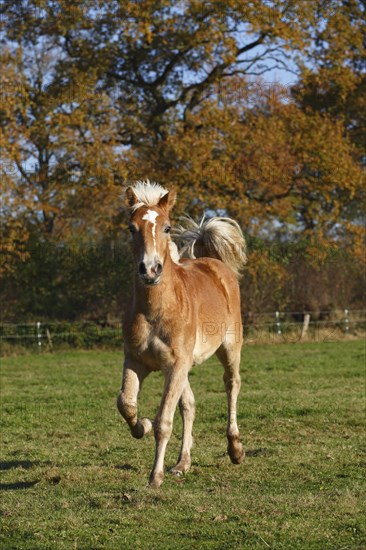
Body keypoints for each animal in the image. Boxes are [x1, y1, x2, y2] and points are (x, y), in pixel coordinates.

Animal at [118, 181, 247, 488]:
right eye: (131, 228)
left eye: (166, 227)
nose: (150, 270)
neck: (156, 309)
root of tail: (214, 264)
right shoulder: (137, 361)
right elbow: (126, 403)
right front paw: (141, 426)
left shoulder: (176, 365)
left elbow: (164, 422)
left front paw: (155, 476)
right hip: (181, 367)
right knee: (189, 405)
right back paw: (182, 463)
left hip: (229, 347)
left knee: (231, 384)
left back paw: (235, 449)